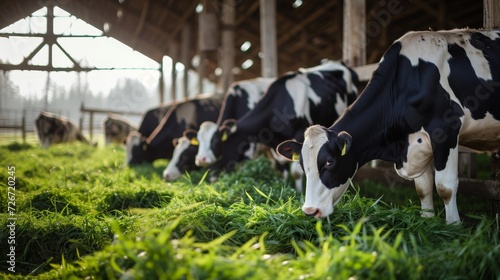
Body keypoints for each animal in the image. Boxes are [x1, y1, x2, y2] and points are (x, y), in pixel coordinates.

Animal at [195, 60, 360, 179]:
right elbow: (282, 170)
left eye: (216, 139)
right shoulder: (272, 144)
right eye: (199, 140)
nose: (200, 159)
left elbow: (297, 172)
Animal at [278, 28, 500, 224]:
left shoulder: (447, 130)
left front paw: (453, 226)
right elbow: (423, 187)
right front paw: (427, 220)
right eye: (302, 165)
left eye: (330, 162)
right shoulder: (417, 145)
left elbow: (445, 186)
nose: (310, 210)